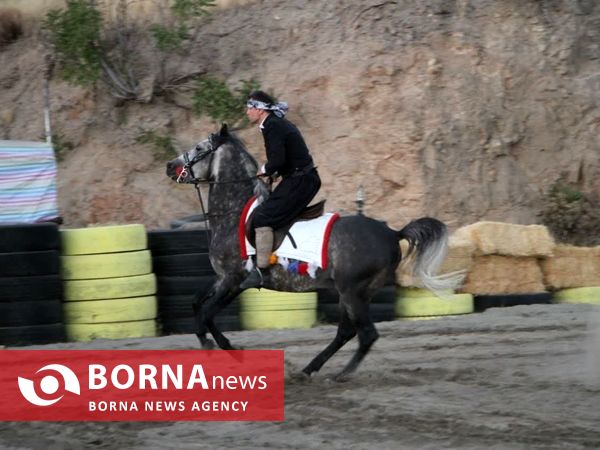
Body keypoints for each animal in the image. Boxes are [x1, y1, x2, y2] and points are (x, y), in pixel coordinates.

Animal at [165, 124, 464, 380]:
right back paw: (309, 369)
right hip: (355, 293)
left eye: (200, 147)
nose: (170, 166)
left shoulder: (234, 279)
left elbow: (207, 314)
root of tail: (392, 233)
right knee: (346, 332)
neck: (233, 212)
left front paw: (226, 349)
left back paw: (341, 374)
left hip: (353, 291)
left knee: (366, 333)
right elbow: (196, 303)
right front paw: (212, 343)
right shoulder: (223, 279)